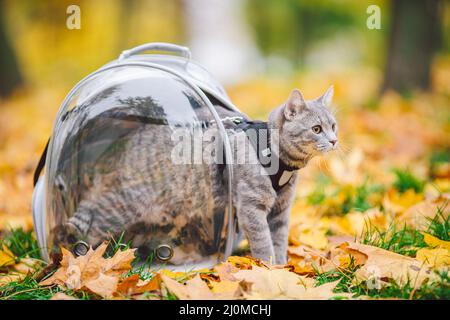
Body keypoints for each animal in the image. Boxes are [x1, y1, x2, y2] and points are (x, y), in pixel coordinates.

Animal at [54, 85, 338, 264]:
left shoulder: (280, 210)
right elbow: (263, 242)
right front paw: (267, 268)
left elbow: (278, 240)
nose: (335, 140)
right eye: (316, 129)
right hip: (122, 205)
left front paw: (281, 268)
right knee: (89, 219)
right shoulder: (251, 207)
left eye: (333, 126)